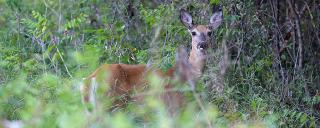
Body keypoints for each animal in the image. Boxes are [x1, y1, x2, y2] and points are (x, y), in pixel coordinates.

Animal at [80, 5, 222, 113]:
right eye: (193, 33)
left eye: (210, 32)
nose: (202, 45)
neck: (186, 75)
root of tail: (90, 79)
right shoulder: (175, 107)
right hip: (113, 105)